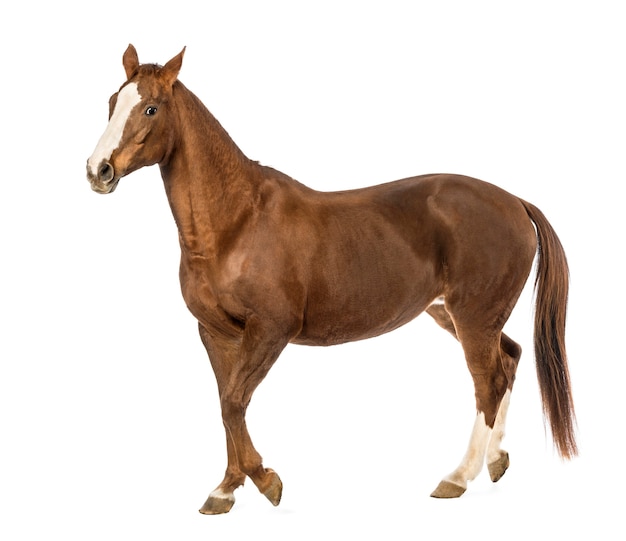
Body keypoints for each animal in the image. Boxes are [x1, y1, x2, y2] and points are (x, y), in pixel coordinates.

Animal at [85, 44, 572, 512]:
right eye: (112, 101)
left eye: (151, 108)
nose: (98, 171)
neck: (236, 222)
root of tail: (515, 201)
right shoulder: (216, 333)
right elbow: (226, 406)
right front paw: (225, 489)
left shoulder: (271, 331)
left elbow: (234, 403)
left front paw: (266, 481)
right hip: (457, 316)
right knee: (509, 359)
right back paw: (496, 461)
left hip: (473, 319)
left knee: (488, 383)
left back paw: (457, 477)